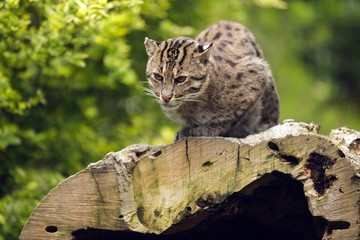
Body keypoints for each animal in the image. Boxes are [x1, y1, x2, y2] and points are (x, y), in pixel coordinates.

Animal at [143, 21, 278, 141]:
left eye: (181, 79)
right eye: (158, 77)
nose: (166, 97)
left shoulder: (257, 74)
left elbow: (232, 118)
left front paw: (209, 129)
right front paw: (186, 130)